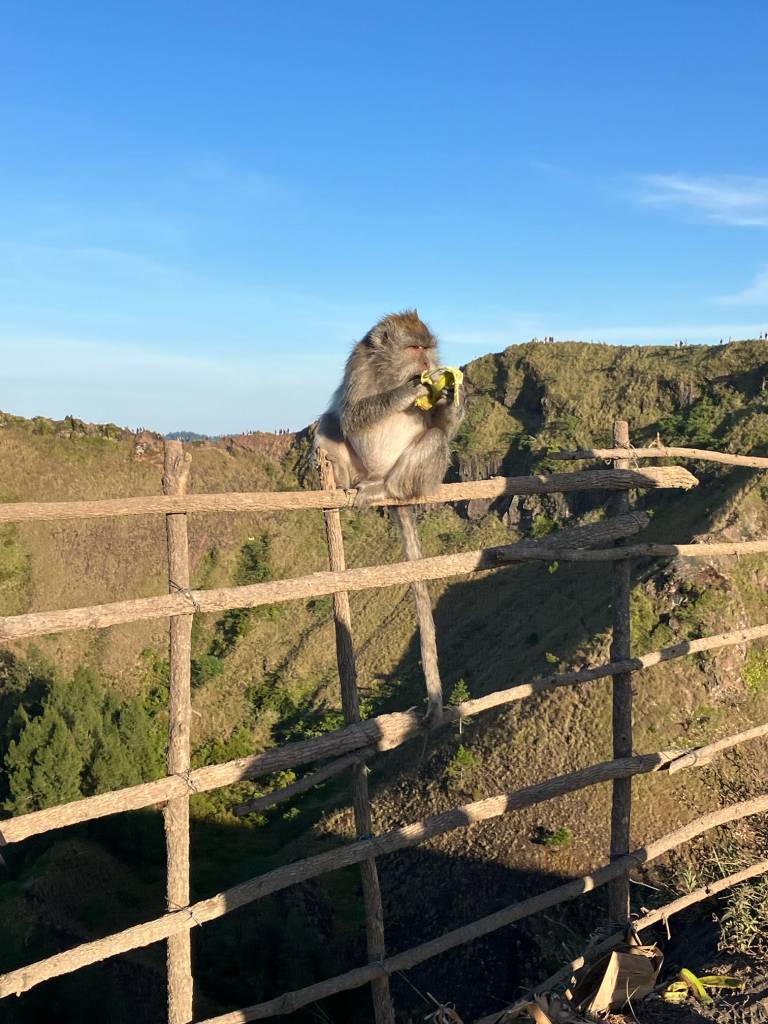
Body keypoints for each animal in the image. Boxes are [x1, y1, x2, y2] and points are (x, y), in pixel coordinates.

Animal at [313, 310, 465, 507]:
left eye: (426, 349)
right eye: (415, 348)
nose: (426, 363)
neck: (391, 377)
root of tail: (373, 475)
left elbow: (442, 429)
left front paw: (455, 400)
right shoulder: (359, 361)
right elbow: (350, 415)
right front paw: (408, 391)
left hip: (392, 475)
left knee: (436, 437)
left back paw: (385, 490)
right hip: (358, 471)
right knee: (329, 421)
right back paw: (339, 480)